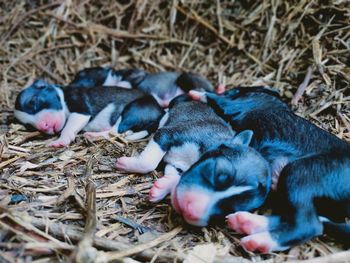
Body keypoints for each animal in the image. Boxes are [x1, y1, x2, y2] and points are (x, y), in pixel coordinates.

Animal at [14, 79, 165, 147]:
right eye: (29, 126)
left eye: (33, 101)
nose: (43, 126)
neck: (63, 96)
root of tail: (159, 114)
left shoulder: (81, 110)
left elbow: (68, 128)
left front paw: (60, 141)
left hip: (133, 110)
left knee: (115, 131)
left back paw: (93, 135)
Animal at [191, 86, 350, 254]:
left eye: (233, 90)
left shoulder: (234, 104)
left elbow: (216, 99)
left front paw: (195, 93)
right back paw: (244, 221)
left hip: (301, 172)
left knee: (309, 224)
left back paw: (257, 241)